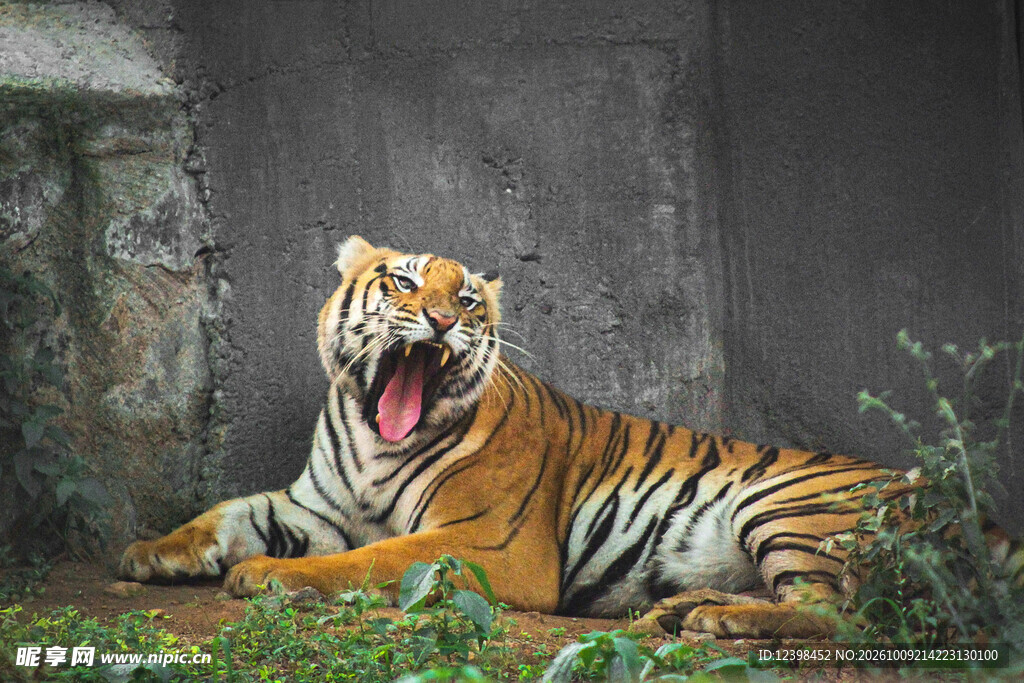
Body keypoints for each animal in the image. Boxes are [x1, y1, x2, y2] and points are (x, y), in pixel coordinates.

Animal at [118, 236, 1021, 638]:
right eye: (404, 281)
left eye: (468, 299)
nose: (441, 319)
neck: (378, 440)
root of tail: (960, 501)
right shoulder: (316, 503)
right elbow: (230, 510)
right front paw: (150, 551)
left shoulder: (487, 543)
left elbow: (370, 557)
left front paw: (268, 575)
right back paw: (686, 609)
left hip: (787, 505)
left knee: (850, 615)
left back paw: (716, 623)